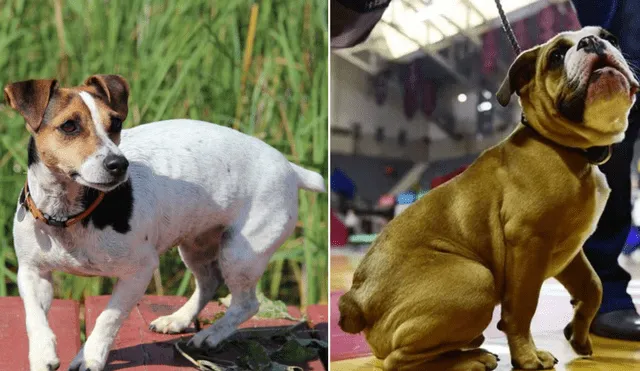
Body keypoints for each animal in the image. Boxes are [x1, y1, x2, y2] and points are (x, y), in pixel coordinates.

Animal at [5, 75, 324, 371]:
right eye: (69, 126)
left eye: (116, 123)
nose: (119, 165)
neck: (69, 214)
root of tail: (291, 169)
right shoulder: (32, 272)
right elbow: (34, 317)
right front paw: (43, 354)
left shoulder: (139, 272)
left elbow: (108, 318)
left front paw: (90, 357)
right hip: (197, 245)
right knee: (208, 283)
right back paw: (178, 319)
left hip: (241, 253)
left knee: (246, 303)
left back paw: (211, 334)